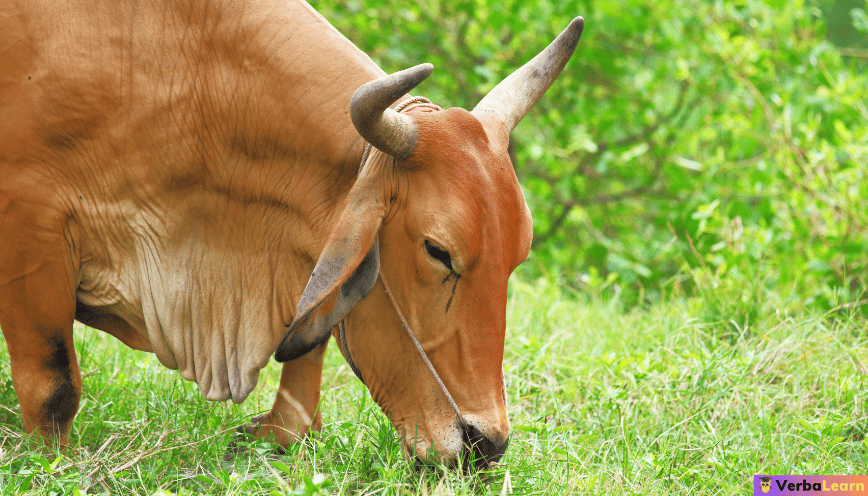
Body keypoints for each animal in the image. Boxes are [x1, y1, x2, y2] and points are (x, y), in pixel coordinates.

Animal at [0, 0, 584, 466]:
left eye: (518, 255)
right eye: (438, 251)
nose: (486, 444)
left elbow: (300, 404)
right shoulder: (29, 227)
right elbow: (54, 390)